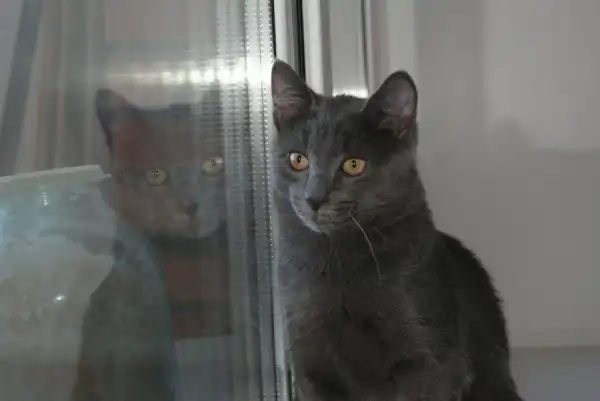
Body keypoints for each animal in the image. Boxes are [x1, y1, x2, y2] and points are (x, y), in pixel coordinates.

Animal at [271, 60, 524, 401]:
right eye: (298, 159)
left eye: (353, 165)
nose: (314, 198)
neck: (335, 261)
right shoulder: (309, 363)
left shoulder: (431, 364)